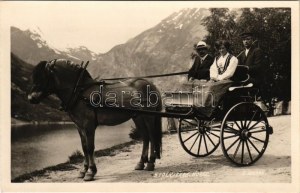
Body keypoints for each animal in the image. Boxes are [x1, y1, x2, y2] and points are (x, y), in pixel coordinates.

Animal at [27, 58, 163, 181]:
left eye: (43, 77)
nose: (30, 98)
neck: (79, 92)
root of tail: (150, 84)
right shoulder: (79, 126)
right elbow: (84, 147)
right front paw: (83, 170)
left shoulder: (89, 125)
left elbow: (90, 147)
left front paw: (91, 172)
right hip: (138, 117)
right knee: (145, 137)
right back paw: (141, 163)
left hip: (149, 116)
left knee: (151, 136)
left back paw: (150, 163)